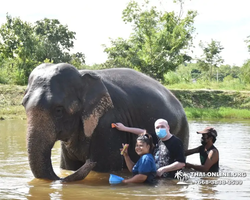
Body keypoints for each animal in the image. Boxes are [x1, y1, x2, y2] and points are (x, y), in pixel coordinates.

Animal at [22, 63, 188, 182]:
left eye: (58, 110)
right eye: (23, 105)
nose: (89, 162)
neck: (83, 77)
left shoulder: (107, 125)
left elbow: (104, 167)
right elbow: (68, 167)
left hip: (182, 131)